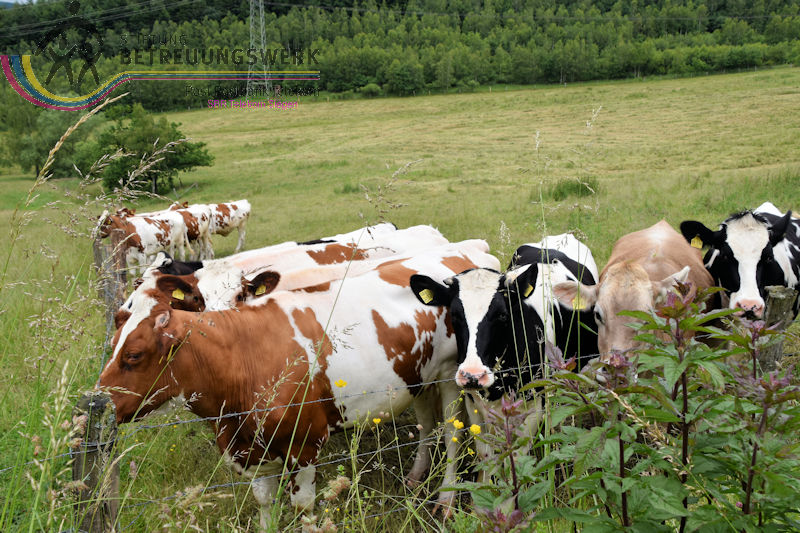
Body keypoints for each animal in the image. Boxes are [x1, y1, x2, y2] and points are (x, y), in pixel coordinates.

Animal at [98, 241, 501, 525]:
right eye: (197, 299)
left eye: (133, 355)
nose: (98, 403)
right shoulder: (251, 451)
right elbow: (264, 505)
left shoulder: (304, 446)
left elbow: (304, 508)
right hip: (416, 376)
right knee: (426, 423)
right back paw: (416, 477)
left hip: (451, 376)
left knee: (453, 435)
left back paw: (445, 500)